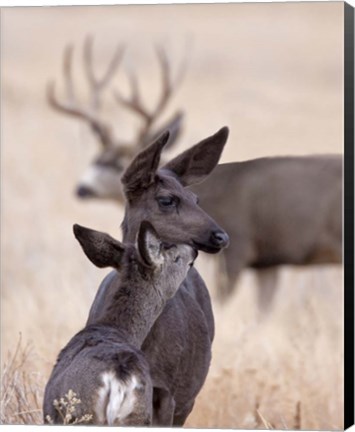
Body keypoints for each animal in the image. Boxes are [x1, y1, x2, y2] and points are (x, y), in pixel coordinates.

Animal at [42, 219, 197, 426]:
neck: (114, 328)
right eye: (177, 258)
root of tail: (120, 380)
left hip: (83, 413)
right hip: (138, 415)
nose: (194, 249)